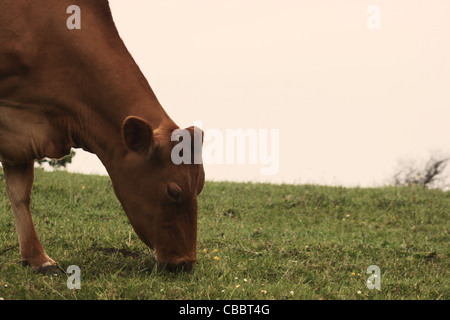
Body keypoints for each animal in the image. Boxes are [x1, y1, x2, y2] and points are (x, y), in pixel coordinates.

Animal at [0, 0, 206, 272]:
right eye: (173, 191)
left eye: (200, 187)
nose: (186, 262)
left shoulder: (21, 132)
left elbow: (20, 193)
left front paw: (37, 258)